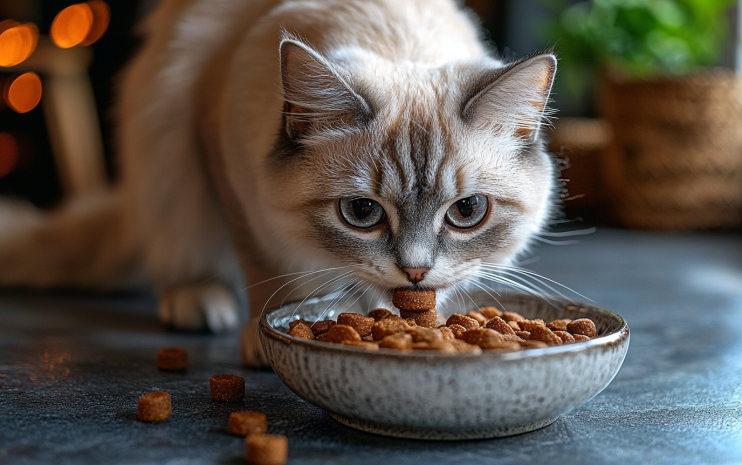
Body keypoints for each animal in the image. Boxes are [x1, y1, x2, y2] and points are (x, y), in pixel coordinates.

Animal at [0, 0, 560, 364]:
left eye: (467, 212)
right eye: (362, 213)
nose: (415, 273)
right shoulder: (221, 156)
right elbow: (265, 271)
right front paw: (264, 341)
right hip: (161, 140)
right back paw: (199, 300)